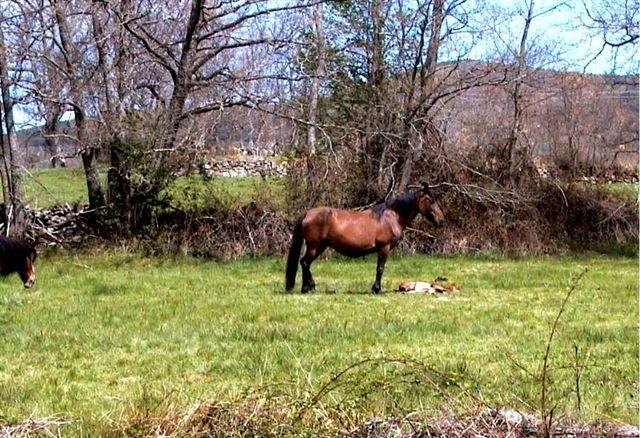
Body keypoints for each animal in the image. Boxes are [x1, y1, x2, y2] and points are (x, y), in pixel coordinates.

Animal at [285, 182, 444, 294]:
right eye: (430, 200)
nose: (441, 220)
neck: (391, 216)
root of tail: (308, 213)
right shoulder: (384, 248)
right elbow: (380, 268)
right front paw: (377, 289)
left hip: (320, 246)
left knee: (305, 263)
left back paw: (308, 288)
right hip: (314, 246)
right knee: (305, 263)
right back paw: (309, 288)